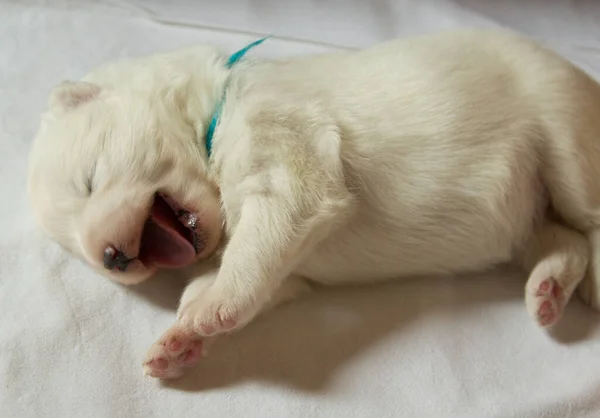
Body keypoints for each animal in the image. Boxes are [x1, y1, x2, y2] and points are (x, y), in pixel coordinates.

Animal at [27, 29, 600, 378]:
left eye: (89, 180)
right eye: (81, 254)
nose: (112, 259)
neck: (217, 111)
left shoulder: (290, 150)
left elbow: (260, 245)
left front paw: (211, 306)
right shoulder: (289, 264)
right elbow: (270, 278)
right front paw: (180, 340)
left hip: (564, 133)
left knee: (588, 216)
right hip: (526, 218)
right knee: (563, 239)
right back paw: (548, 291)